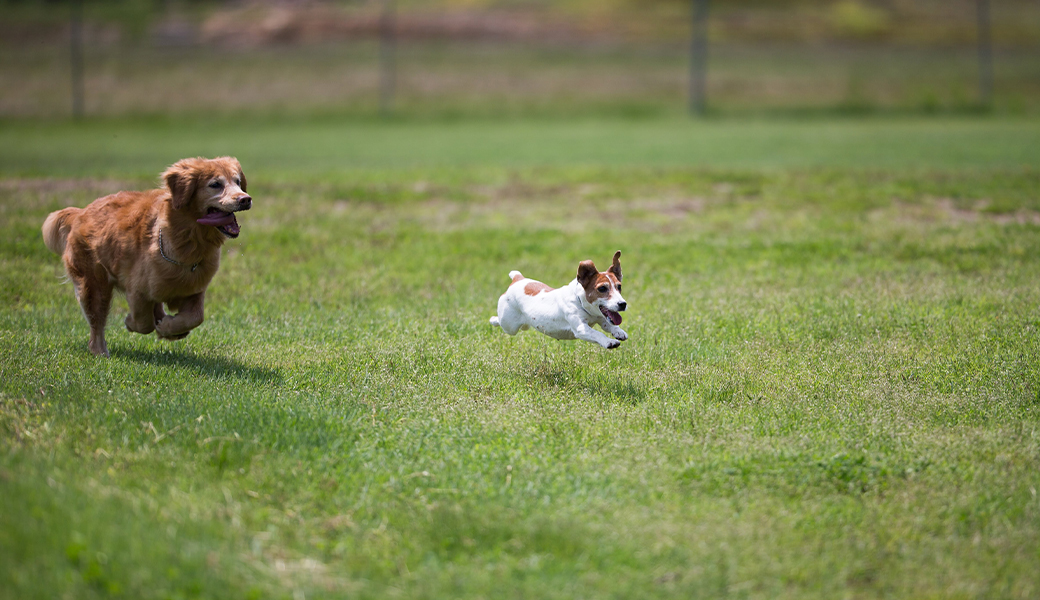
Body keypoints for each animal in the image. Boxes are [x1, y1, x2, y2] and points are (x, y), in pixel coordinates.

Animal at [486, 250, 624, 349]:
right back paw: (492, 320)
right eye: (602, 288)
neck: (580, 301)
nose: (623, 304)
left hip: (523, 325)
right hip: (509, 325)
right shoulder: (581, 328)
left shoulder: (602, 319)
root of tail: (517, 278)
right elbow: (597, 333)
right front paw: (609, 342)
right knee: (500, 322)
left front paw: (619, 332)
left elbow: (611, 326)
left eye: (619, 287)